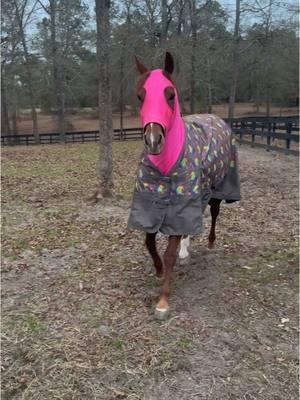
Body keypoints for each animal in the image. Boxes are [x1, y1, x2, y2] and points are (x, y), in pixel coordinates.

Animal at [127, 52, 240, 318]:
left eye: (170, 95)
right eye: (140, 96)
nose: (153, 141)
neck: (166, 166)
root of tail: (215, 117)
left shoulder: (180, 203)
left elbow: (169, 253)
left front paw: (163, 302)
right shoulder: (152, 202)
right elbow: (149, 242)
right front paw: (158, 269)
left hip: (217, 188)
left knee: (214, 213)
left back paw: (209, 243)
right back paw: (186, 251)